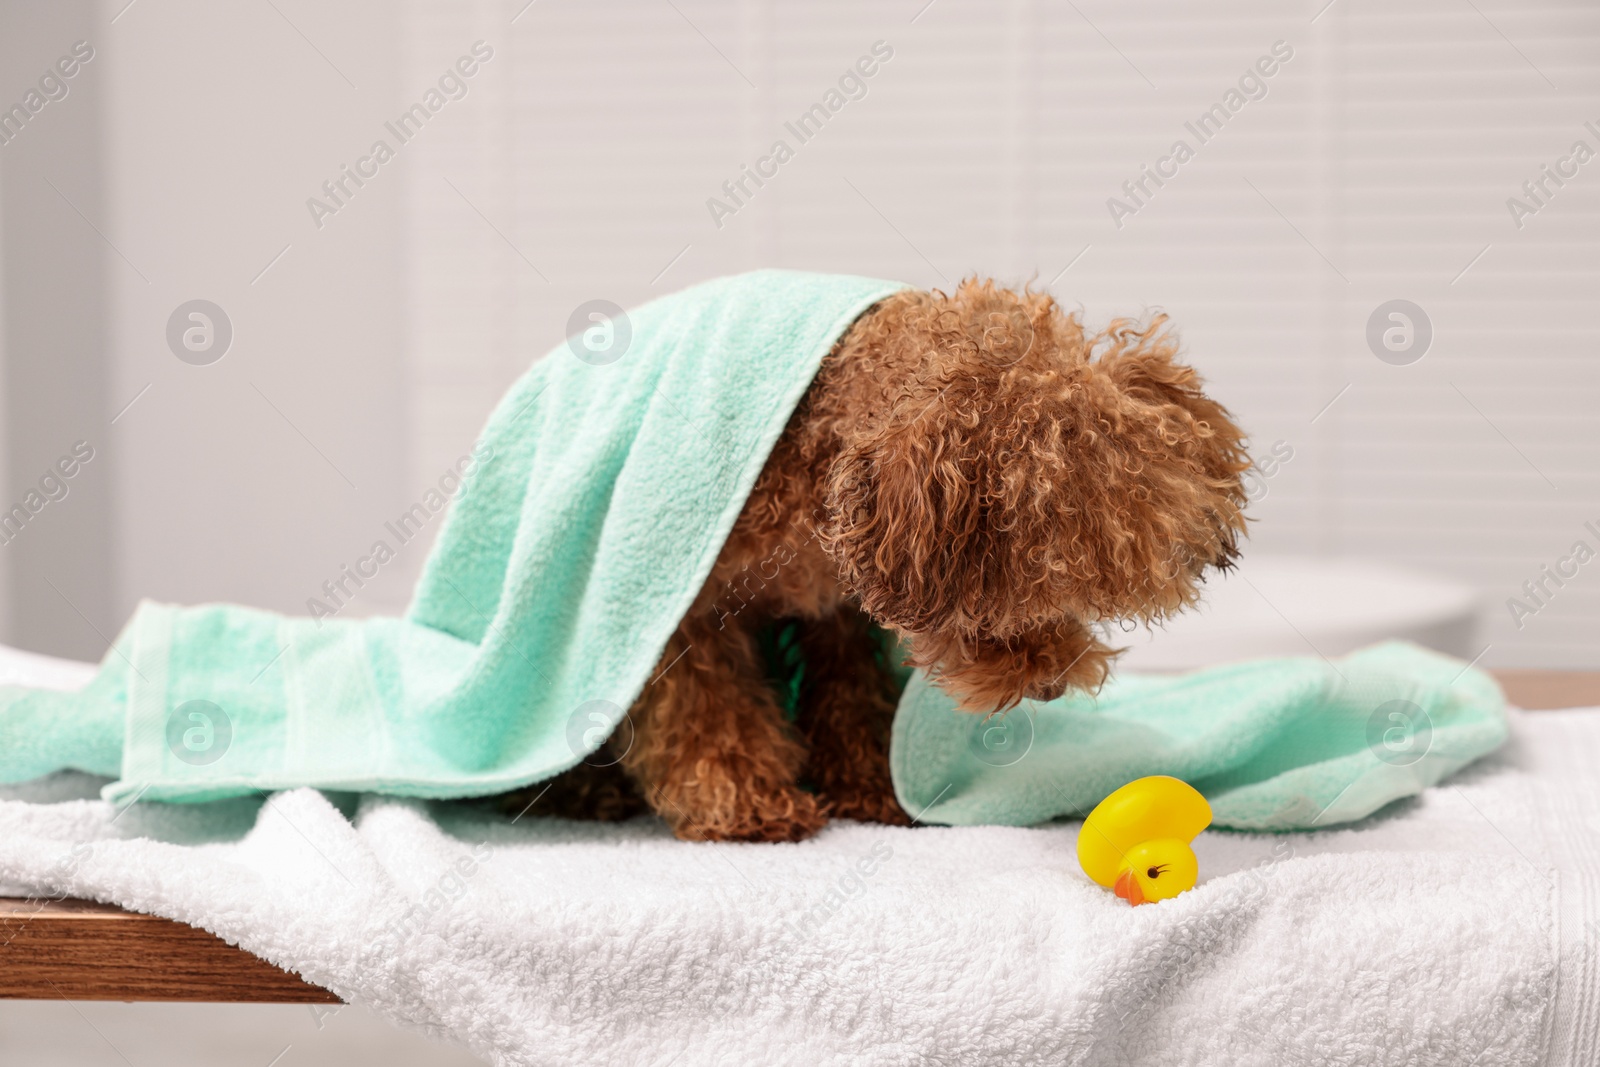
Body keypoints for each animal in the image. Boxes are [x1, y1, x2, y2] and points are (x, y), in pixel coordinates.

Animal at [508, 278, 1248, 844]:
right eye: (1014, 602)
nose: (1051, 687)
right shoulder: (685, 612)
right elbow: (708, 715)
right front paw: (747, 806)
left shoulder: (838, 616)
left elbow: (854, 698)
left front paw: (870, 788)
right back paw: (581, 795)